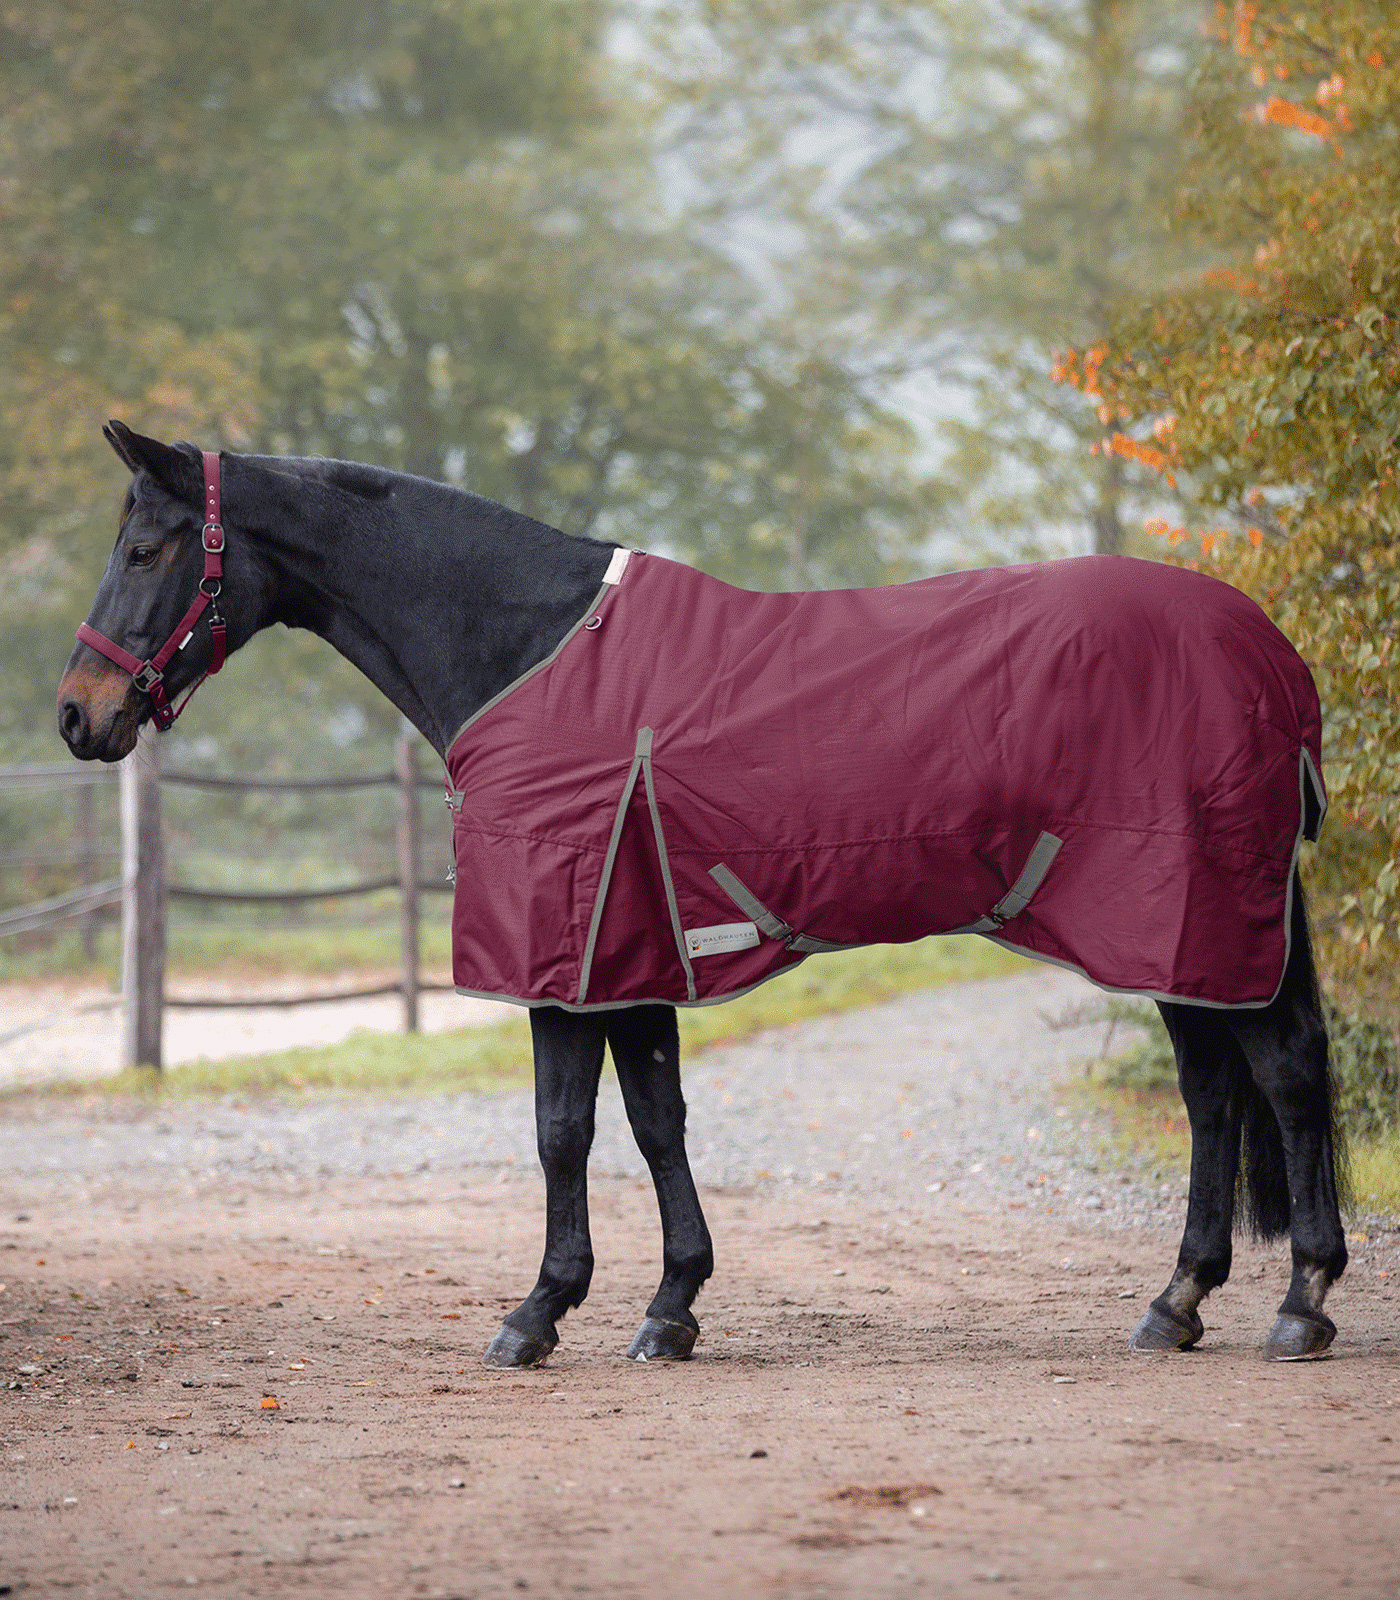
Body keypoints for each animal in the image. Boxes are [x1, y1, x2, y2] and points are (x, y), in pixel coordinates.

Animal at [60, 422, 1350, 1363]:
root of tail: (1270, 656)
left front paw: (539, 1312)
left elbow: (564, 1128)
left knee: (1278, 1077)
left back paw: (1298, 1304)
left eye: (145, 550)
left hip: (1186, 912)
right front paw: (668, 1304)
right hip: (1177, 934)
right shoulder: (625, 950)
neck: (529, 645)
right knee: (1212, 1093)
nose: (79, 714)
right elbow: (652, 1118)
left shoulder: (567, 950)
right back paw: (1177, 1301)